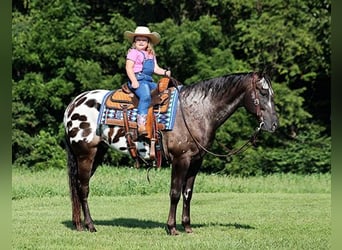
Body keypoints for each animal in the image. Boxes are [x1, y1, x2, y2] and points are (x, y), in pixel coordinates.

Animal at [63, 72, 278, 234]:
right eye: (262, 92)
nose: (274, 124)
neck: (195, 112)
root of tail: (73, 105)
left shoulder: (196, 161)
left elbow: (187, 193)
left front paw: (188, 227)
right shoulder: (180, 159)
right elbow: (174, 192)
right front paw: (172, 227)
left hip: (97, 154)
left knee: (78, 186)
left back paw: (79, 224)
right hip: (85, 154)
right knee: (83, 189)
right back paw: (90, 225)